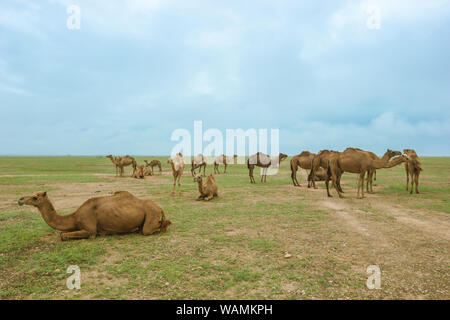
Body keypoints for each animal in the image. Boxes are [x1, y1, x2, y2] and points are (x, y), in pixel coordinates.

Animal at [17, 190, 171, 240]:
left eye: (35, 197)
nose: (20, 199)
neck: (74, 217)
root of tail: (160, 207)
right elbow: (62, 233)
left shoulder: (90, 230)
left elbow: (62, 235)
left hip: (151, 215)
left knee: (148, 230)